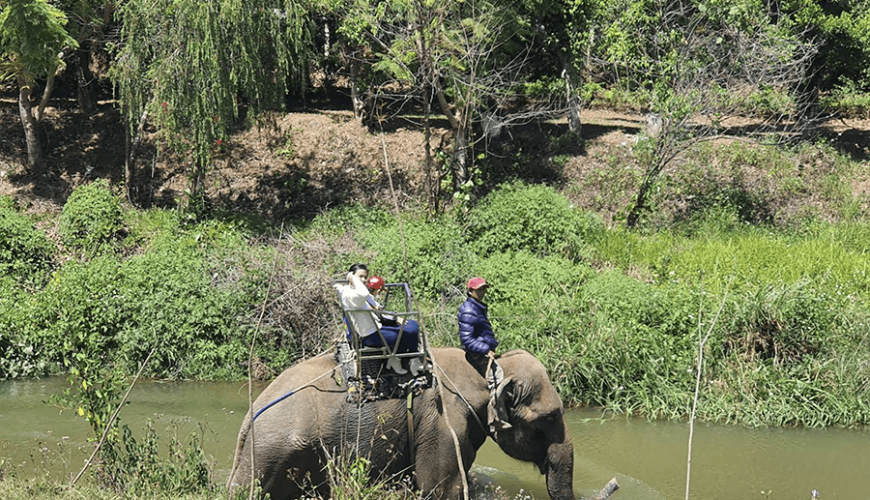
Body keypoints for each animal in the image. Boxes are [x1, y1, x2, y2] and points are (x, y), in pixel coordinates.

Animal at [227, 347, 575, 500]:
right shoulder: (442, 422)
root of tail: (246, 424)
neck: (486, 369)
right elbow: (441, 488)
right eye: (550, 417)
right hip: (275, 457)